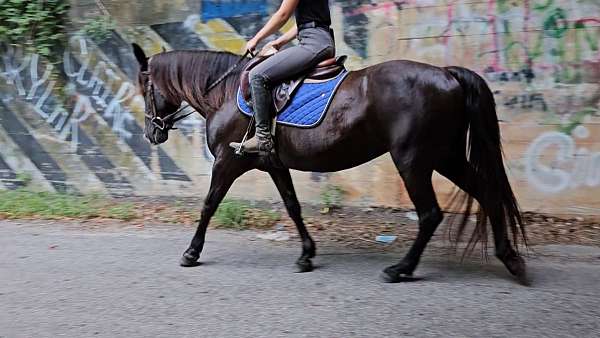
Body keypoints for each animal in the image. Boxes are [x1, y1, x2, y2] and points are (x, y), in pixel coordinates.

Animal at [134, 43, 528, 284]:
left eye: (144, 89)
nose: (151, 133)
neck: (226, 93)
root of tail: (447, 74)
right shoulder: (273, 164)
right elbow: (292, 206)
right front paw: (307, 255)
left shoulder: (228, 162)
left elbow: (209, 204)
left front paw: (191, 252)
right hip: (445, 157)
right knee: (487, 193)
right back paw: (510, 258)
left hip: (414, 160)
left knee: (431, 214)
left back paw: (400, 269)